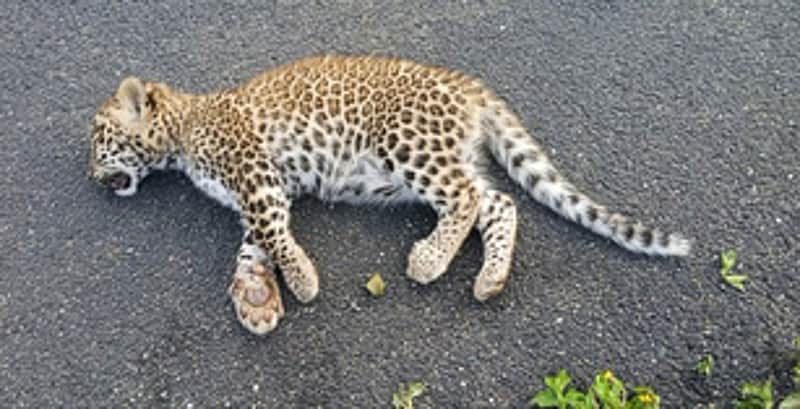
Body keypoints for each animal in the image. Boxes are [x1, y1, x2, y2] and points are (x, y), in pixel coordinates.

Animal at [88, 55, 691, 335]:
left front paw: (301, 282)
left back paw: (430, 260)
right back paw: (489, 278)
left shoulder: (256, 176)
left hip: (410, 145)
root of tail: (466, 83)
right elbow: (255, 244)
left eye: (99, 141)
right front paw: (257, 298)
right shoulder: (259, 192)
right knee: (498, 202)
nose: (93, 177)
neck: (181, 132)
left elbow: (275, 237)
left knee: (467, 200)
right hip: (456, 154)